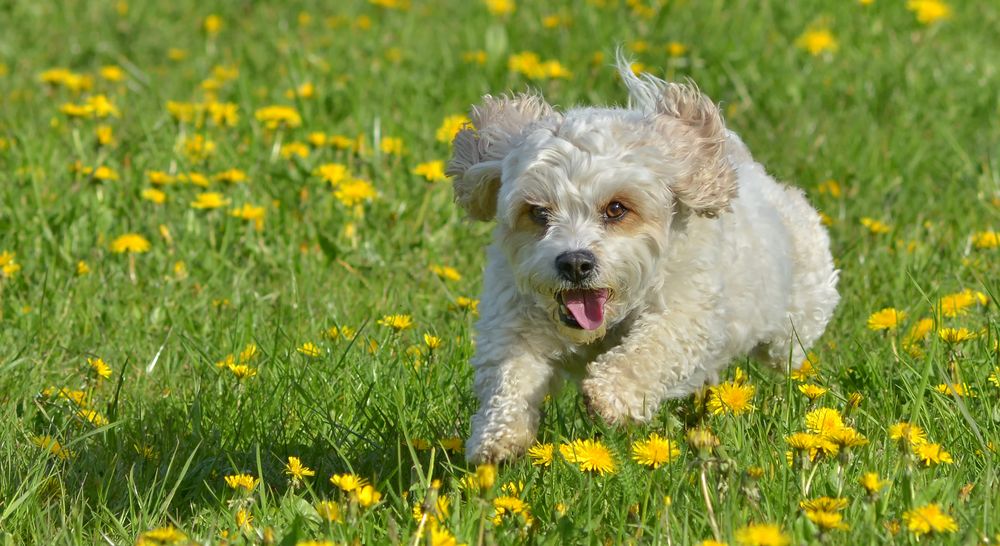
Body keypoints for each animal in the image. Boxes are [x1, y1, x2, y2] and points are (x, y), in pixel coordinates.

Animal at [446, 59, 836, 462]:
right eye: (538, 212)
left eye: (616, 208)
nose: (575, 263)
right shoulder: (514, 320)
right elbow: (509, 375)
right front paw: (497, 436)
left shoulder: (688, 316)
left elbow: (651, 349)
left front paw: (609, 394)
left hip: (796, 320)